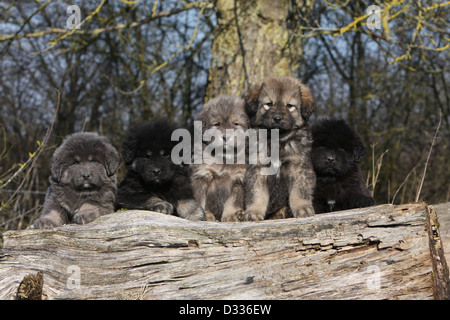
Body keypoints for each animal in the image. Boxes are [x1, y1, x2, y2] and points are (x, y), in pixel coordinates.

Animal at [243, 75, 316, 220]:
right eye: (269, 104)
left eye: (289, 106)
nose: (277, 118)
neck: (278, 139)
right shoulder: (258, 168)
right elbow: (256, 193)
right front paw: (254, 211)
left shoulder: (298, 167)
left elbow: (299, 191)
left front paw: (302, 208)